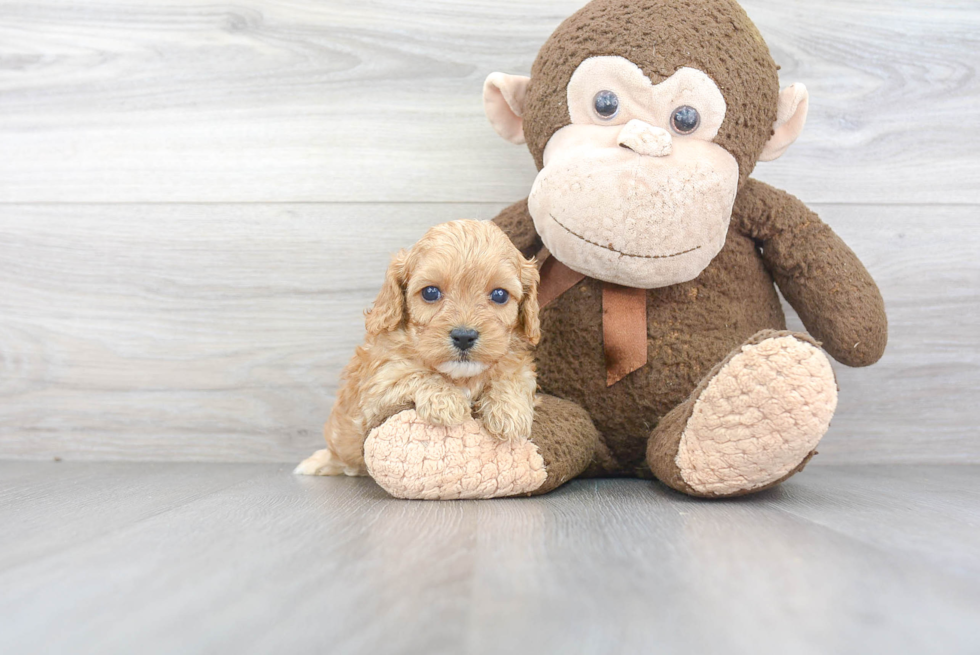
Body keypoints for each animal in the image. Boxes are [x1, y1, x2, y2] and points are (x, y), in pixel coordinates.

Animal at [296, 220, 544, 476]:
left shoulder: (519, 367)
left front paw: (509, 411)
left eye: (499, 295)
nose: (464, 336)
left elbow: (513, 377)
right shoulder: (378, 386)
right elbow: (416, 374)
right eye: (430, 292)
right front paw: (447, 401)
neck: (461, 376)